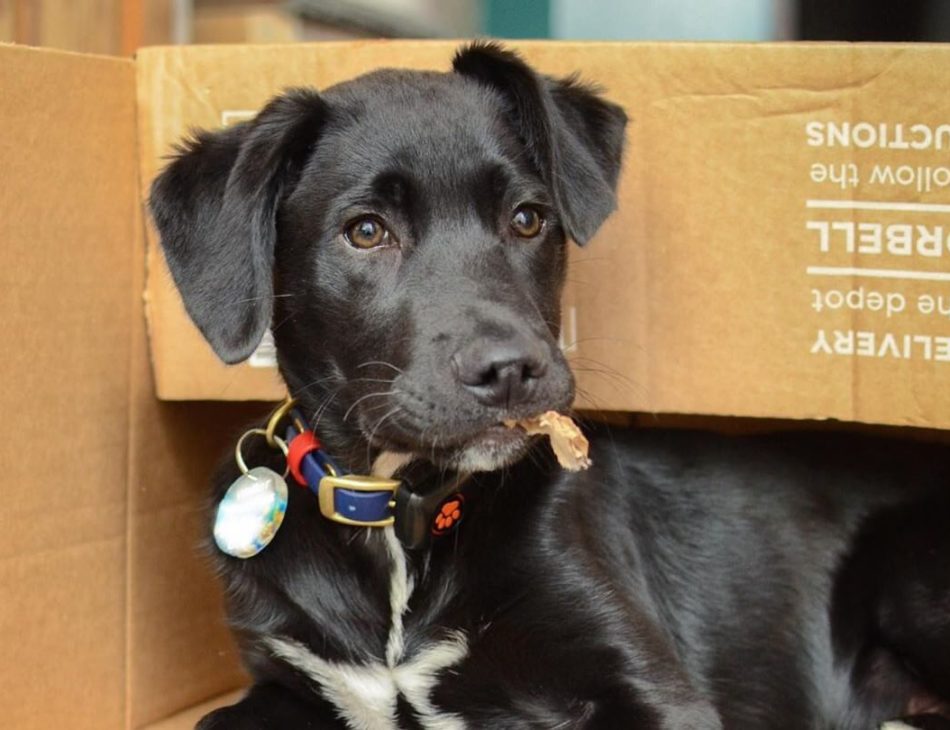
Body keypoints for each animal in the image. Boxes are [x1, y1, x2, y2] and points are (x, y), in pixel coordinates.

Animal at [151, 42, 950, 724]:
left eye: (529, 218)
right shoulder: (285, 681)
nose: (511, 370)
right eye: (367, 231)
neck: (400, 524)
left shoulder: (653, 687)